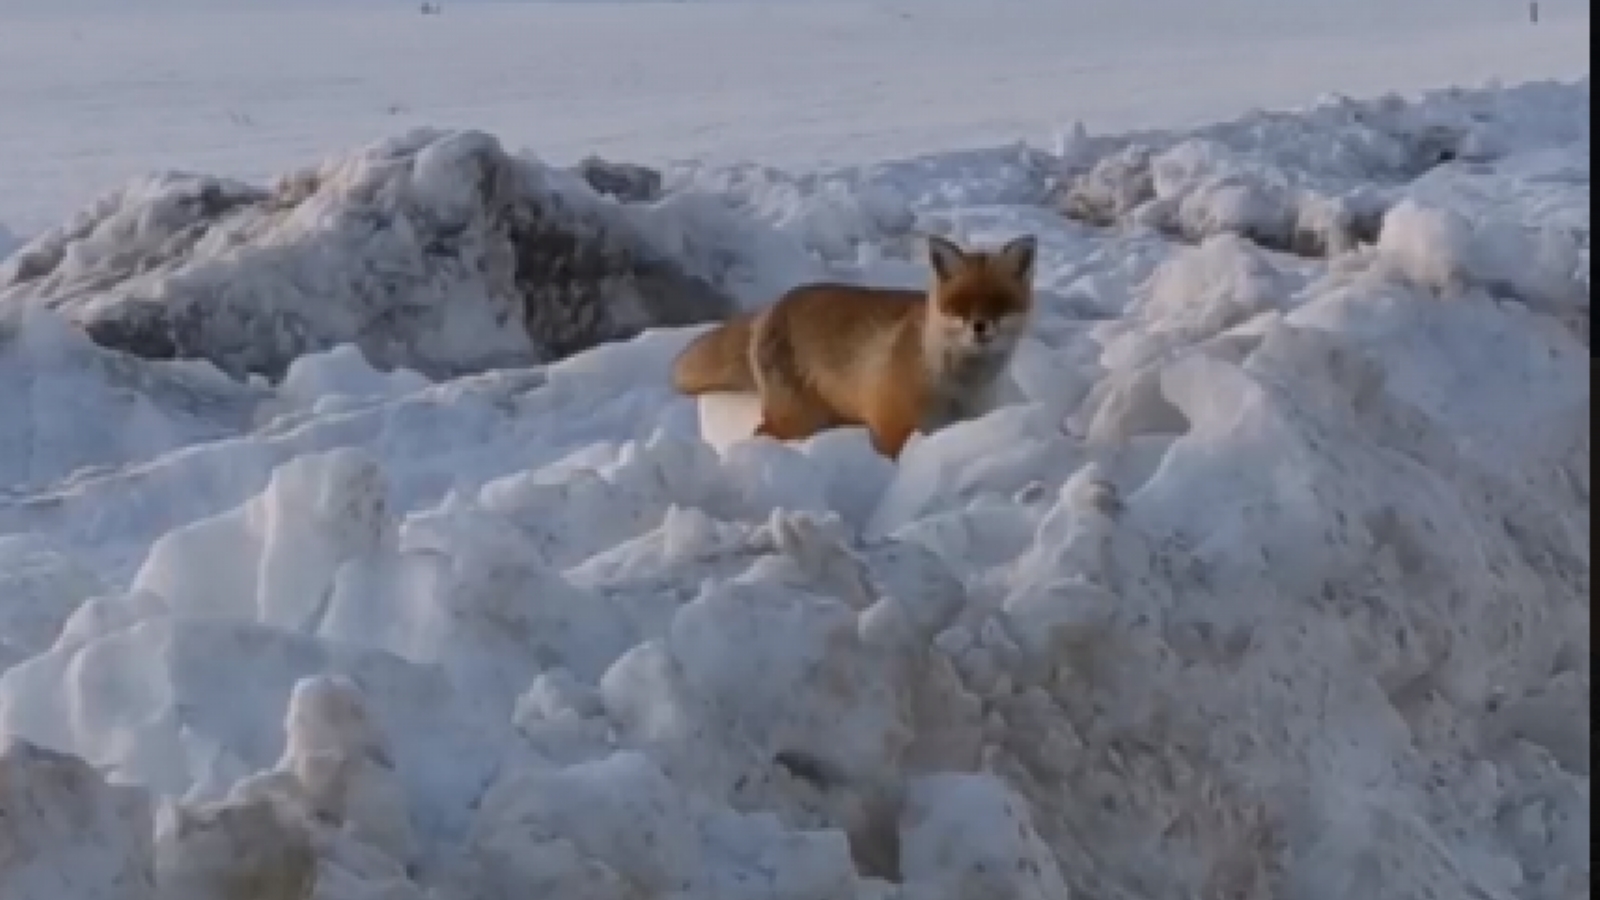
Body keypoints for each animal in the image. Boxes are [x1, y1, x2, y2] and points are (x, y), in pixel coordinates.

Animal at [665, 232, 1030, 454]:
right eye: (960, 304)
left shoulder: (971, 420)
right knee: (760, 434)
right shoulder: (892, 426)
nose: (980, 327)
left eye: (1000, 303)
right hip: (797, 420)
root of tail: (772, 306)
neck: (958, 384)